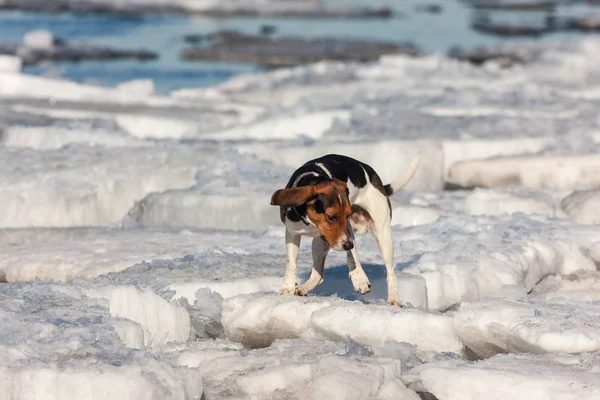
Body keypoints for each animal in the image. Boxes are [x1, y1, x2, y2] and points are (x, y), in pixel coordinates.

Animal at [270, 153, 420, 306]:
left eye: (348, 214)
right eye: (331, 217)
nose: (348, 245)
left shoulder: (347, 230)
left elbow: (352, 256)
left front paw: (360, 279)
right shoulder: (292, 233)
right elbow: (291, 263)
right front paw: (287, 288)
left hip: (383, 235)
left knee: (391, 273)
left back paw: (394, 299)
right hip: (319, 243)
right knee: (319, 275)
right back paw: (303, 288)